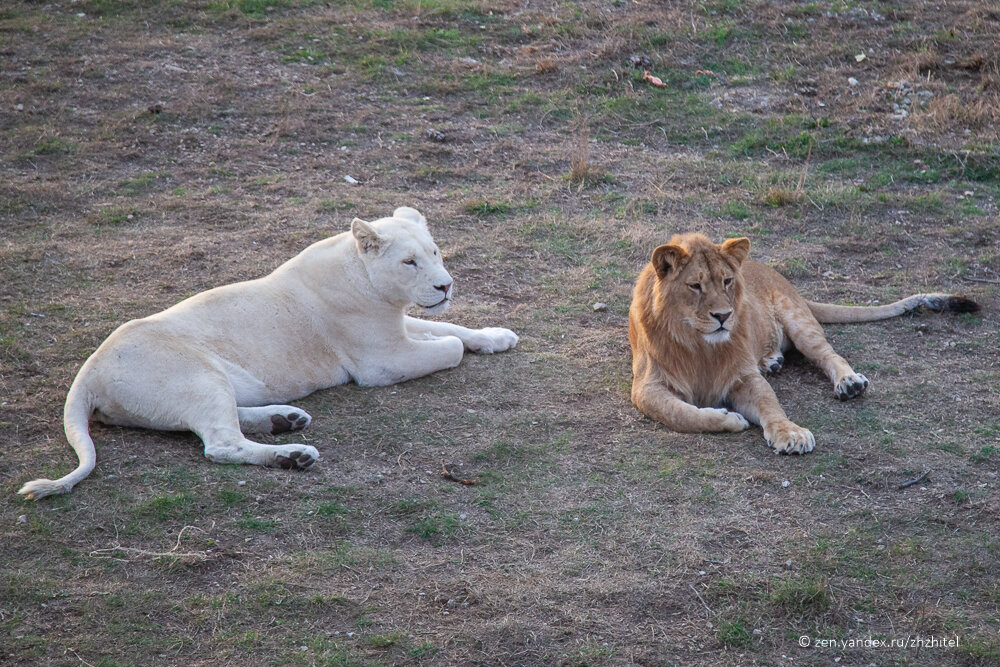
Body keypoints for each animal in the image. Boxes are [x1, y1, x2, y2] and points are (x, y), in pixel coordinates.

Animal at [19, 206, 520, 498]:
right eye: (409, 262)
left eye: (435, 252)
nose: (445, 285)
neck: (371, 283)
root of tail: (89, 371)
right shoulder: (382, 361)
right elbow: (448, 347)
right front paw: (461, 341)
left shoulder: (395, 326)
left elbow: (450, 326)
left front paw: (497, 336)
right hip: (198, 375)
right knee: (220, 444)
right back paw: (294, 454)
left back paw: (286, 420)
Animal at [628, 232, 980, 456]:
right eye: (695, 286)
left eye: (727, 281)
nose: (724, 316)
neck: (699, 344)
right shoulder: (646, 386)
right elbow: (681, 414)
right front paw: (729, 418)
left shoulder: (743, 375)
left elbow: (771, 404)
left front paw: (790, 433)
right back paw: (772, 362)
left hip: (800, 321)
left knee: (829, 355)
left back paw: (849, 382)